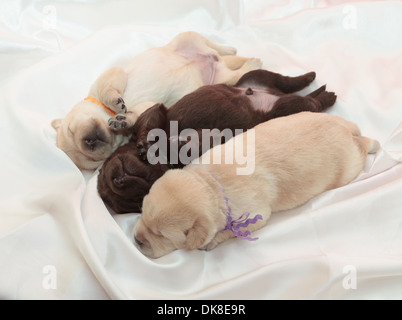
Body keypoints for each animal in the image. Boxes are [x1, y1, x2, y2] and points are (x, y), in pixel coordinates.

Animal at [50, 30, 262, 170]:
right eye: (94, 161)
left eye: (71, 130)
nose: (90, 142)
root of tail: (216, 60)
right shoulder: (147, 107)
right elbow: (136, 113)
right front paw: (123, 119)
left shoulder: (112, 75)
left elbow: (107, 89)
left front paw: (115, 102)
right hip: (220, 79)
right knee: (236, 71)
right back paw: (250, 61)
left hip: (186, 38)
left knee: (213, 46)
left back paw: (232, 50)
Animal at [99, 69, 338, 212]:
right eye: (137, 199)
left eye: (106, 174)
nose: (119, 181)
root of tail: (273, 95)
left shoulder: (156, 112)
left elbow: (148, 126)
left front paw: (146, 143)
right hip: (284, 109)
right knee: (307, 101)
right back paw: (322, 93)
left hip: (257, 77)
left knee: (286, 81)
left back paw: (311, 79)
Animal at [133, 111, 380, 258]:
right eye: (142, 213)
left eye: (162, 235)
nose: (135, 240)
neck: (211, 183)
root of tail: (346, 128)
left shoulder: (255, 216)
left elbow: (229, 231)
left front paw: (212, 241)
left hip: (349, 167)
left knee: (363, 147)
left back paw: (373, 143)